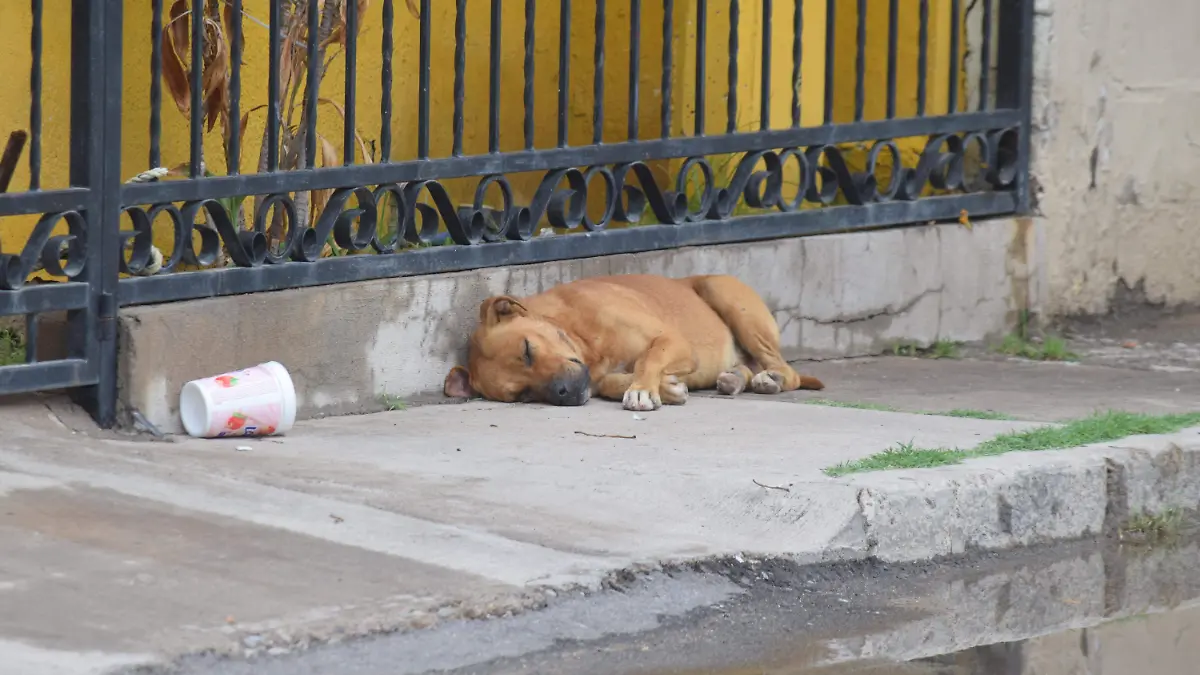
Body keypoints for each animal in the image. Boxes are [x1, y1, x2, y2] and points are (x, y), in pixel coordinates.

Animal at [441, 273, 825, 410]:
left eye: (527, 350)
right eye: (521, 395)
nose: (562, 394)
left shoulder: (671, 340)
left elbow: (648, 359)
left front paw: (642, 389)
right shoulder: (598, 377)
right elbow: (615, 381)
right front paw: (665, 388)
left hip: (723, 294)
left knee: (786, 371)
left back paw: (769, 378)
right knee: (746, 367)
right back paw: (733, 378)